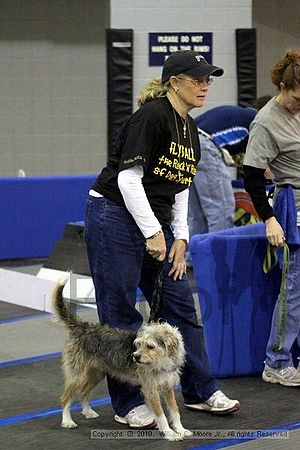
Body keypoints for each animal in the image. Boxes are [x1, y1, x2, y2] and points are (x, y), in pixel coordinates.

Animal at [51, 280, 192, 442]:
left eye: (150, 346)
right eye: (138, 344)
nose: (135, 357)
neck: (160, 362)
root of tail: (82, 327)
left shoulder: (168, 387)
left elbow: (174, 411)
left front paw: (181, 429)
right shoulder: (151, 391)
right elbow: (161, 415)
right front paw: (169, 434)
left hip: (95, 375)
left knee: (83, 393)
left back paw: (88, 412)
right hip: (78, 376)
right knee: (65, 398)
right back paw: (67, 421)